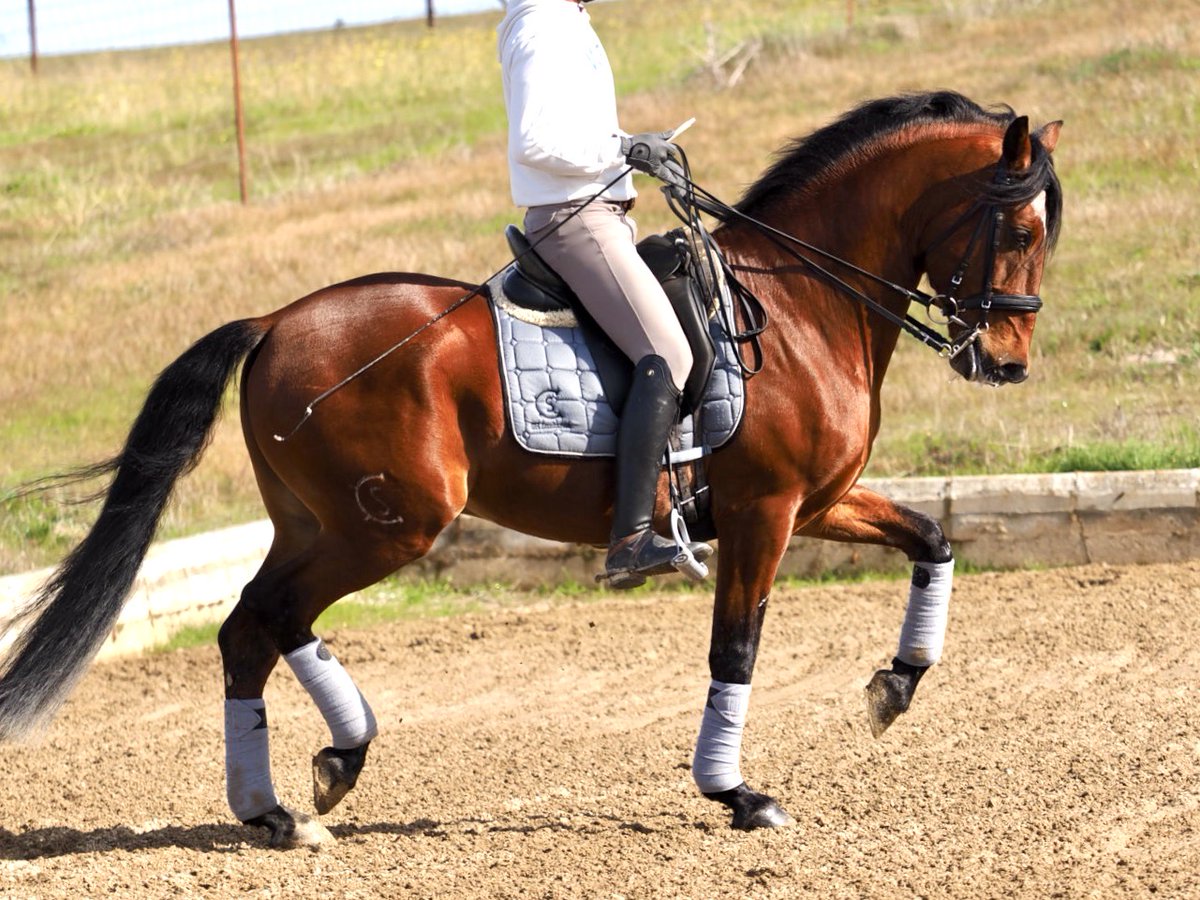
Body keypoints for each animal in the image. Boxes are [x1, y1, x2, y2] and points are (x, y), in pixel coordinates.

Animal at [0, 91, 1062, 847]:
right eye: (1020, 231)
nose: (1008, 364)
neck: (799, 305)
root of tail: (274, 321)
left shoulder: (816, 501)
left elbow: (933, 539)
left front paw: (897, 684)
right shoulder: (765, 512)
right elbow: (737, 649)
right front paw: (736, 793)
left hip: (320, 522)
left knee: (256, 626)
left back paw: (288, 798)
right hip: (390, 524)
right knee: (268, 618)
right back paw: (312, 781)